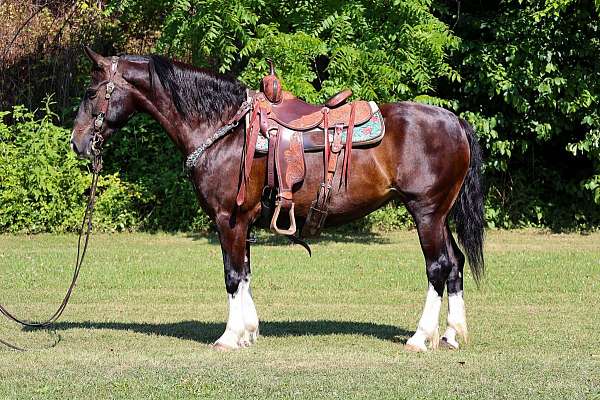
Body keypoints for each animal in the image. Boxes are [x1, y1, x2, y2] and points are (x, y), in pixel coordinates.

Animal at [70, 48, 482, 352]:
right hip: (440, 215)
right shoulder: (244, 221)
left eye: (90, 93)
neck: (224, 131)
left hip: (426, 213)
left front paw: (229, 337)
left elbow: (232, 276)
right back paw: (451, 334)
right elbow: (246, 273)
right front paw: (249, 330)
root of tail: (455, 122)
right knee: (456, 264)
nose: (77, 143)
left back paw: (420, 338)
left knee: (438, 267)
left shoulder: (229, 218)